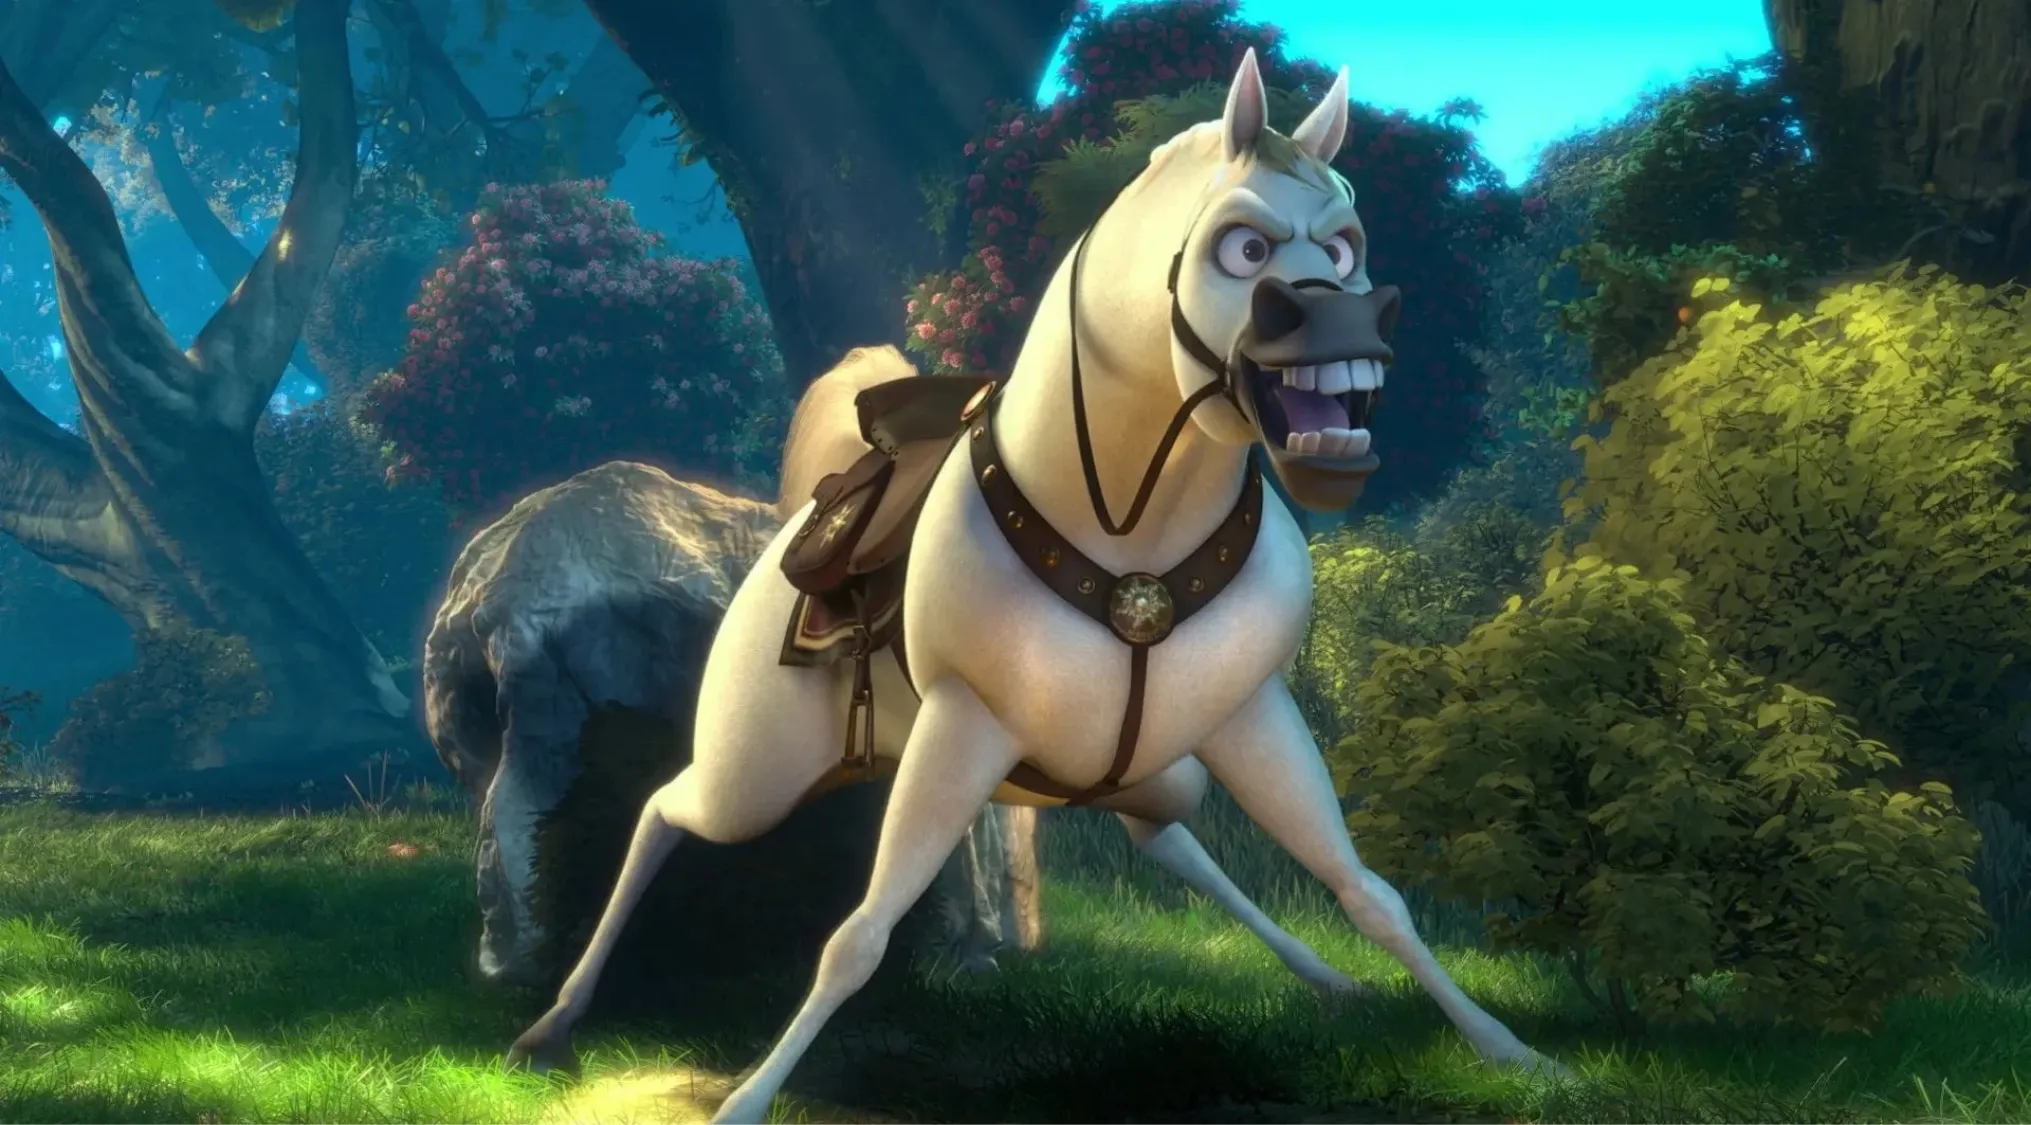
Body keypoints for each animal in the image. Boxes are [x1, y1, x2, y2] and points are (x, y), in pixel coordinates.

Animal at [507, 49, 1564, 1121]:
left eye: (1346, 249)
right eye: (1244, 248)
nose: (1353, 320)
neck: (1131, 527)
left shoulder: (1253, 715)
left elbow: (1369, 892)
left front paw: (1510, 1050)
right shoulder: (963, 727)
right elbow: (858, 935)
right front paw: (750, 1097)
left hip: (1144, 768)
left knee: (1168, 842)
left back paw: (1325, 978)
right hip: (754, 778)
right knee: (662, 811)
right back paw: (553, 1019)